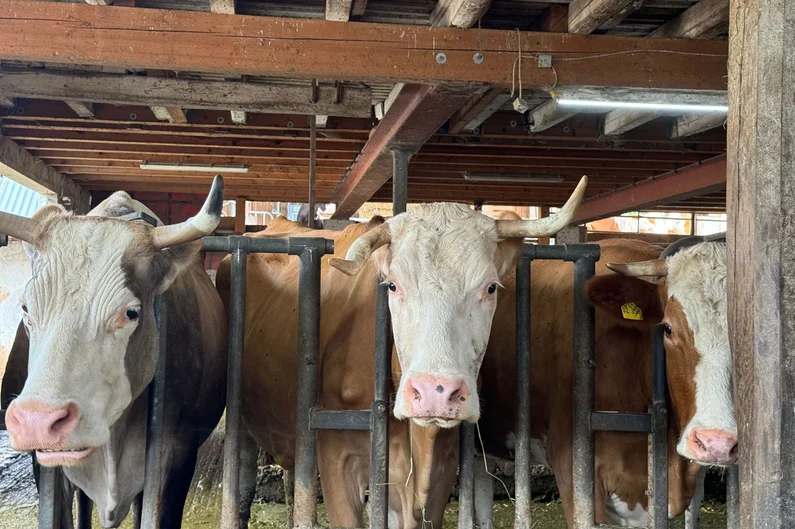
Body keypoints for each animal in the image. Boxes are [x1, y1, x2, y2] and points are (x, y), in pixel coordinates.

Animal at [214, 177, 588, 529]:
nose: (436, 392)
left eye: (491, 287)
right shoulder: (337, 462)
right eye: (393, 285)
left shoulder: (438, 472)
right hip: (243, 428)